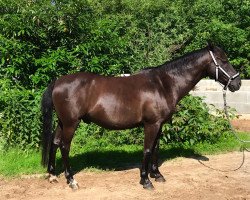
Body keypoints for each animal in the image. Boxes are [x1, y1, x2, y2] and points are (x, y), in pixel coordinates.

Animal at [40, 43, 240, 189]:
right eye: (222, 60)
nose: (237, 83)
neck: (163, 84)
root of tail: (58, 81)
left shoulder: (160, 124)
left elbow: (156, 149)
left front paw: (157, 174)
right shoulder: (151, 124)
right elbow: (147, 150)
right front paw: (146, 181)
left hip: (62, 122)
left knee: (55, 142)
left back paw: (52, 175)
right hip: (71, 123)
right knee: (65, 146)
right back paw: (71, 180)